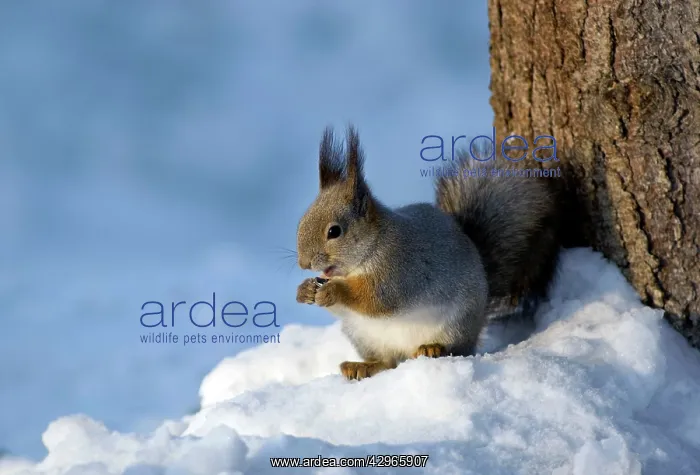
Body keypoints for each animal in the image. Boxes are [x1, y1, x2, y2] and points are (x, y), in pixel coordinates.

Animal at [296, 125, 562, 380]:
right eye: (301, 221)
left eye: (334, 231)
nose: (303, 263)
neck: (370, 250)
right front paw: (305, 290)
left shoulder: (399, 269)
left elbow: (376, 300)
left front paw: (333, 291)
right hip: (362, 334)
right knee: (387, 362)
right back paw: (362, 366)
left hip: (456, 323)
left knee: (458, 349)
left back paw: (433, 348)